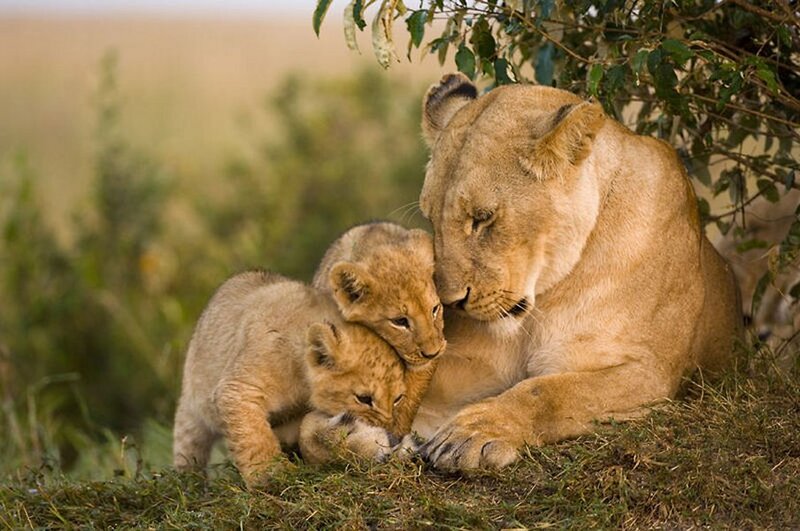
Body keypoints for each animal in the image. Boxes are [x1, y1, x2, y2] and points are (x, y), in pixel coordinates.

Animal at [172, 270, 406, 486]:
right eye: (364, 399)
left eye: (397, 399)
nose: (395, 436)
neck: (301, 382)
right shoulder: (238, 388)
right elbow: (252, 435)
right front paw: (271, 475)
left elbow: (306, 431)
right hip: (193, 408)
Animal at [411, 73, 742, 470]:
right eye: (431, 219)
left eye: (482, 218)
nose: (449, 303)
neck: (544, 297)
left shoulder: (649, 373)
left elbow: (546, 392)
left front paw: (472, 433)